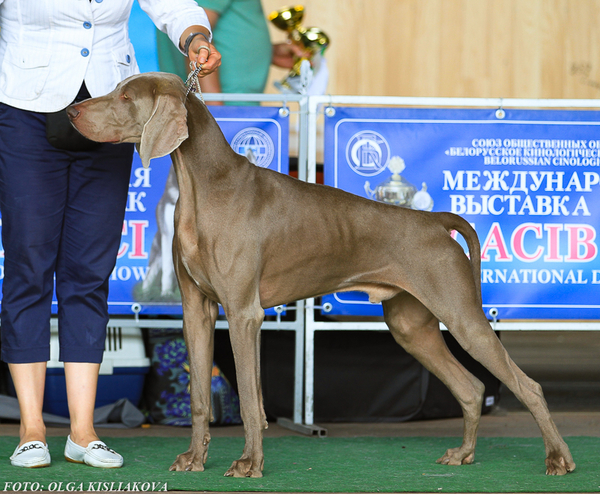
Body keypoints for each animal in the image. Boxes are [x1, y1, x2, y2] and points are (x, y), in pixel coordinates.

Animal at [67, 71, 576, 476]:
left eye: (125, 96)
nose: (71, 111)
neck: (205, 186)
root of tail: (434, 221)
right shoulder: (197, 309)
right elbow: (197, 397)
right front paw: (195, 460)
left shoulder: (244, 311)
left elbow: (250, 398)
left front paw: (250, 464)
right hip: (410, 326)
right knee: (471, 388)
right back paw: (464, 455)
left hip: (462, 315)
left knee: (527, 386)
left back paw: (558, 459)